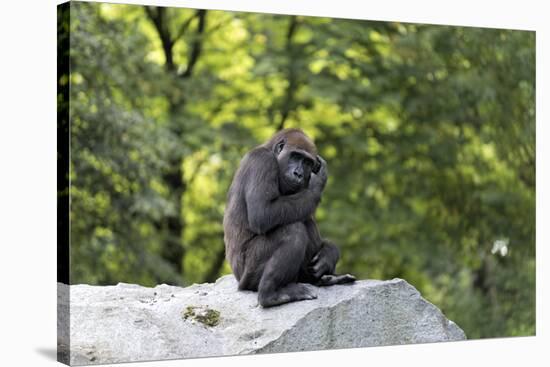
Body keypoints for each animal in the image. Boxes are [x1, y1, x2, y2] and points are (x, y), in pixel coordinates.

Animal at [224, 129, 358, 308]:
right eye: (295, 156)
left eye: (307, 162)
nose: (299, 174)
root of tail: (238, 281)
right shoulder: (261, 161)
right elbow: (263, 213)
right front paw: (317, 182)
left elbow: (304, 209)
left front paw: (329, 253)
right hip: (247, 277)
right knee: (292, 230)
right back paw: (270, 294)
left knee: (304, 222)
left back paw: (320, 279)